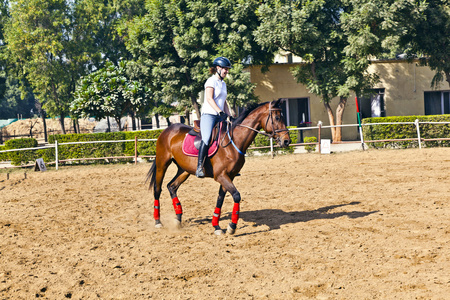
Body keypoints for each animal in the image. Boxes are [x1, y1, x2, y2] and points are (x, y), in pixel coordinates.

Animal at [146, 99, 290, 236]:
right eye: (277, 118)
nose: (287, 141)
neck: (233, 141)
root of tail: (167, 130)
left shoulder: (229, 176)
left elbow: (220, 199)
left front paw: (217, 226)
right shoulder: (221, 176)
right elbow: (236, 195)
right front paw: (232, 226)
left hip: (184, 170)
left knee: (171, 186)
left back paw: (177, 219)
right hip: (162, 165)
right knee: (157, 189)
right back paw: (158, 221)